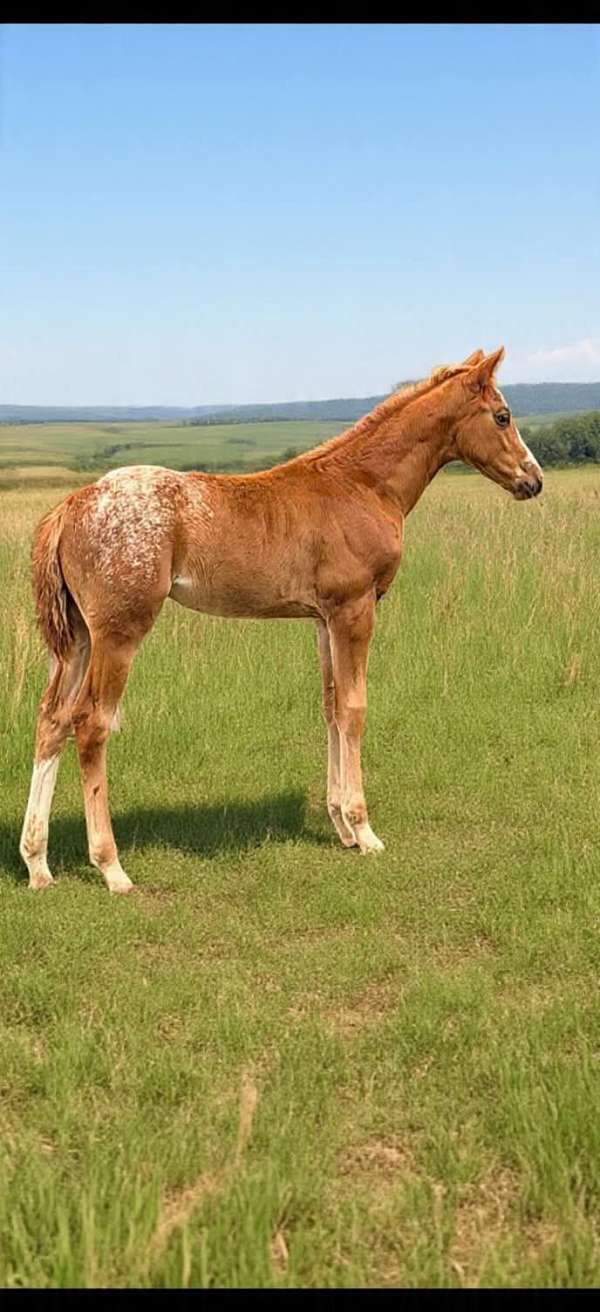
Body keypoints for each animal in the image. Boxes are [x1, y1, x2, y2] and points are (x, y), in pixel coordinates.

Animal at [20, 346, 543, 893]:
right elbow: (355, 708)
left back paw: (37, 863)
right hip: (119, 633)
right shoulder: (355, 608)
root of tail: (71, 506)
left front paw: (341, 828)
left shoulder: (323, 618)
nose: (534, 480)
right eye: (502, 416)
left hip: (78, 638)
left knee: (52, 719)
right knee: (91, 723)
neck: (363, 485)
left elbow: (331, 707)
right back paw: (111, 867)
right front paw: (364, 830)